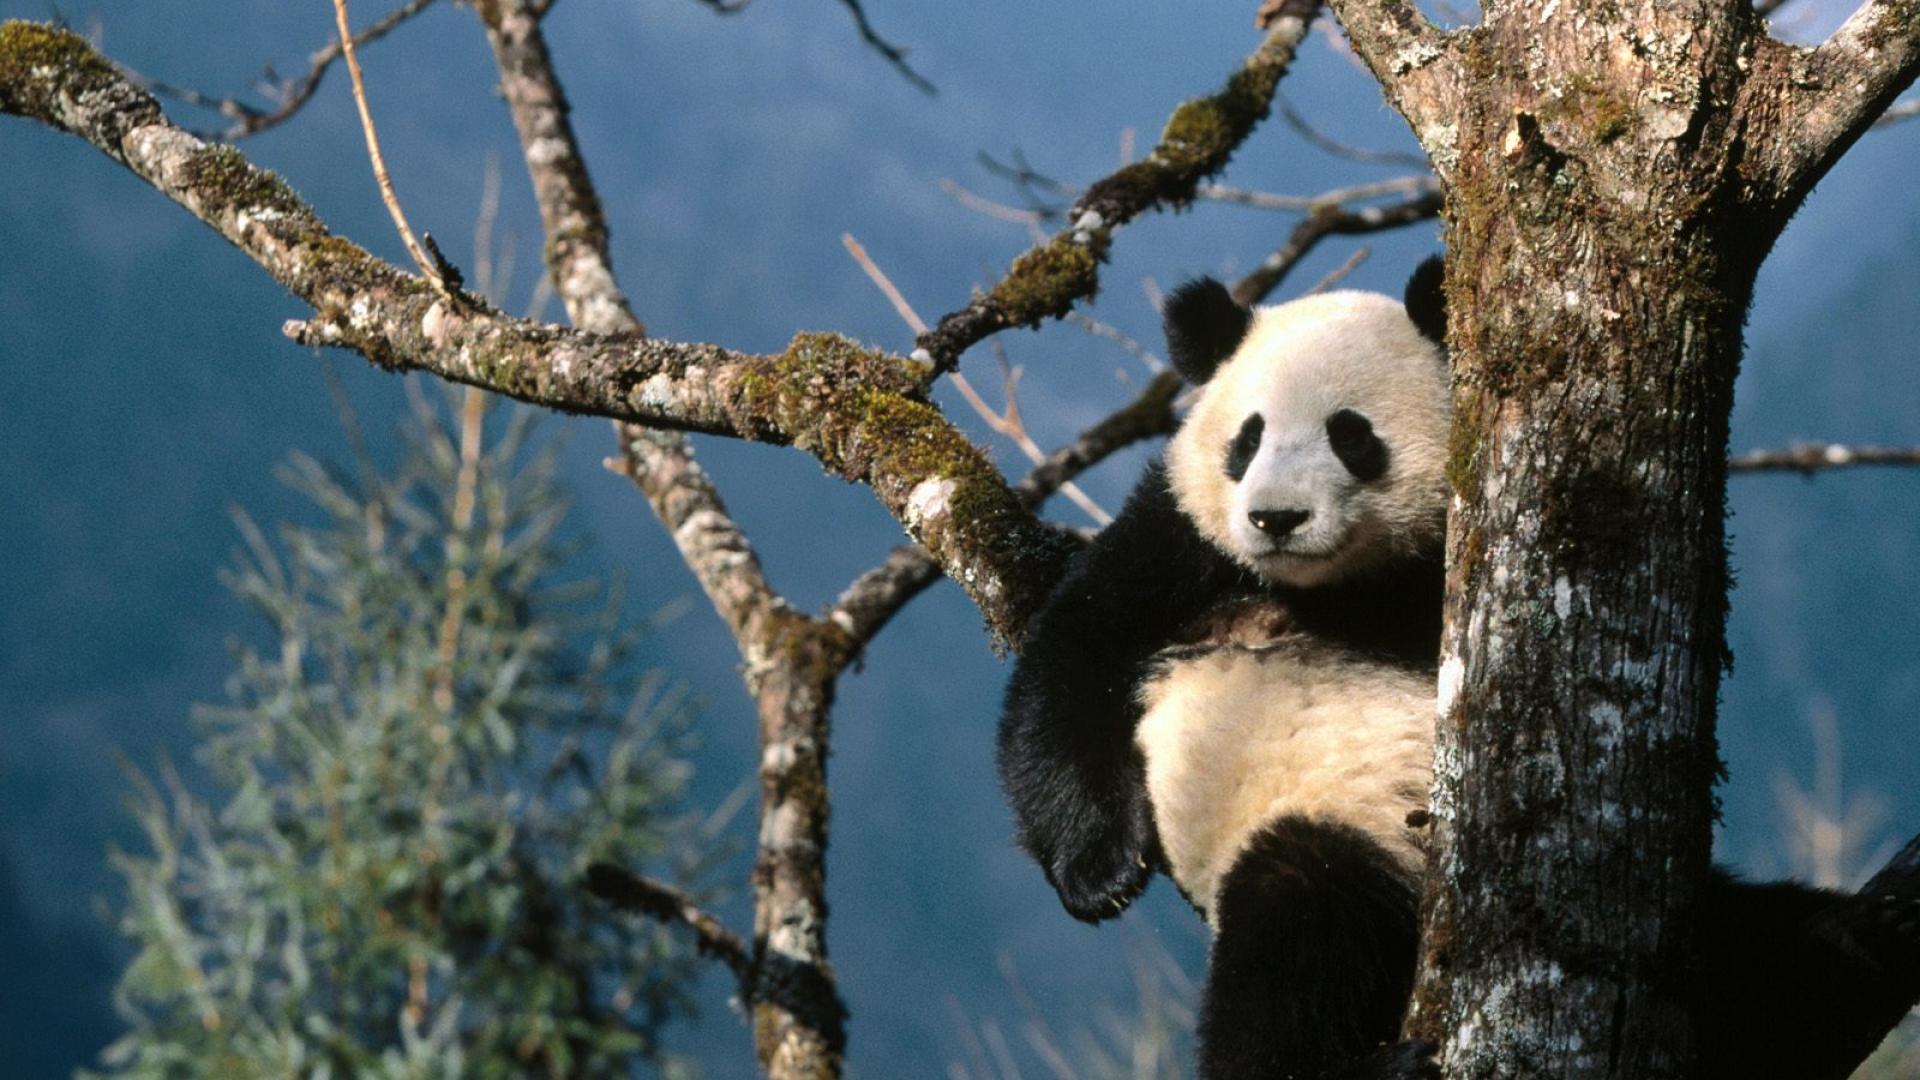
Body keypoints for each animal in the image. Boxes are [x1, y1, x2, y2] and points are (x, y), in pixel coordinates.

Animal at [996, 261, 1920, 1080]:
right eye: (1246, 439)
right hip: (1327, 831)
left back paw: (1858, 940)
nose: (1276, 518)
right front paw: (1099, 874)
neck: (1330, 586)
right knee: (1294, 930)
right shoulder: (1181, 542)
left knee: (1749, 936)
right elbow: (1070, 661)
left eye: (1351, 435)